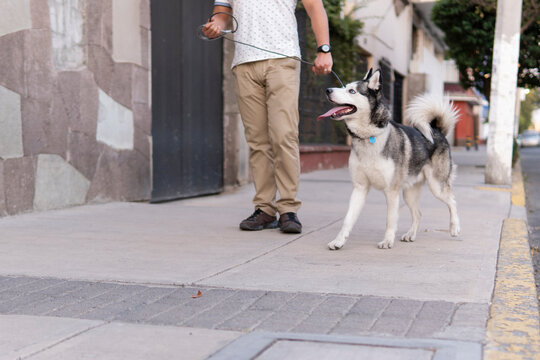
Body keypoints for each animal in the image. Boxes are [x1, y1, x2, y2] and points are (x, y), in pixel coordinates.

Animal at [318, 68, 462, 250]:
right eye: (345, 87)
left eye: (351, 91)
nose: (328, 90)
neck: (369, 138)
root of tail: (437, 130)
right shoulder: (359, 188)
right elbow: (348, 219)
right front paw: (338, 241)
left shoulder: (391, 191)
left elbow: (390, 220)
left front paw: (387, 241)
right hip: (409, 193)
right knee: (418, 213)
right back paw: (410, 234)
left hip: (437, 186)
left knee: (452, 201)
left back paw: (455, 228)